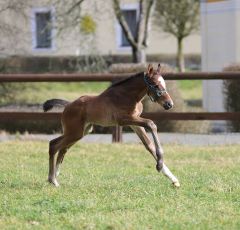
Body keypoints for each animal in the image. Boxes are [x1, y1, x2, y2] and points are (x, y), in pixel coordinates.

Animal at [43, 63, 179, 188]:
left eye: (164, 84)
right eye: (155, 85)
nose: (169, 104)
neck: (128, 96)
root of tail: (68, 105)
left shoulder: (135, 124)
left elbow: (149, 145)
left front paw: (172, 178)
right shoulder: (124, 120)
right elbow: (151, 124)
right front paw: (159, 165)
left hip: (81, 132)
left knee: (62, 148)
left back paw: (55, 175)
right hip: (74, 132)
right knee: (54, 145)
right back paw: (53, 180)